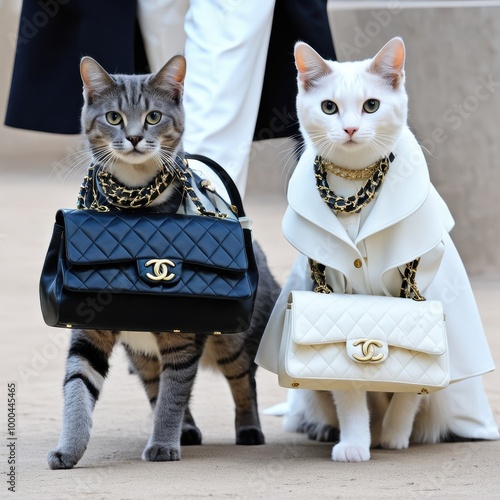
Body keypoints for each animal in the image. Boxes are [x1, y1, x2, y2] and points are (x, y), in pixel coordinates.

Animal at [47, 55, 280, 468]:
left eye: (153, 117)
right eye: (113, 117)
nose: (135, 137)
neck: (135, 201)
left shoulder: (182, 337)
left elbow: (175, 395)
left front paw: (163, 445)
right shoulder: (88, 329)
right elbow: (78, 388)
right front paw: (68, 449)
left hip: (233, 342)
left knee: (240, 380)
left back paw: (248, 429)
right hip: (142, 354)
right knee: (157, 385)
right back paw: (187, 431)